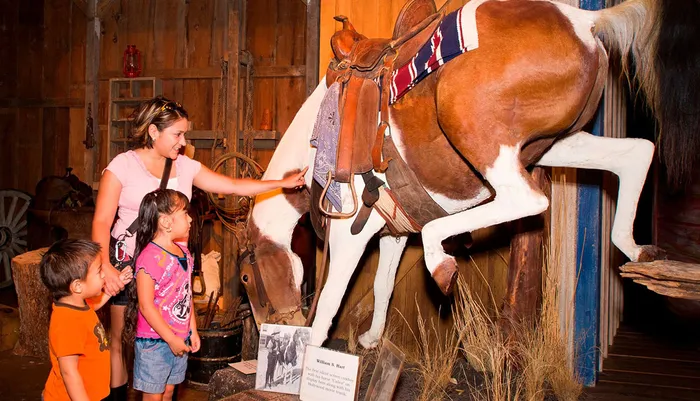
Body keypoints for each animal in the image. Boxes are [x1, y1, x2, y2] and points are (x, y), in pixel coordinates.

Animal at [241, 0, 700, 346]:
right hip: (559, 144)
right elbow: (383, 284)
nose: (268, 330)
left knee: (525, 199)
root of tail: (584, 20)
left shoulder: (350, 233)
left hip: (477, 134)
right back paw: (637, 250)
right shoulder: (392, 231)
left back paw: (441, 262)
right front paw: (371, 339)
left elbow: (330, 305)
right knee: (637, 154)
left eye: (246, 278)